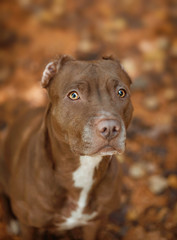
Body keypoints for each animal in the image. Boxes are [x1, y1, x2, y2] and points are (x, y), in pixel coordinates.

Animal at [0, 54, 133, 240]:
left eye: (121, 92)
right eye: (74, 95)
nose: (110, 128)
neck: (83, 167)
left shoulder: (96, 223)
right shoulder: (29, 225)